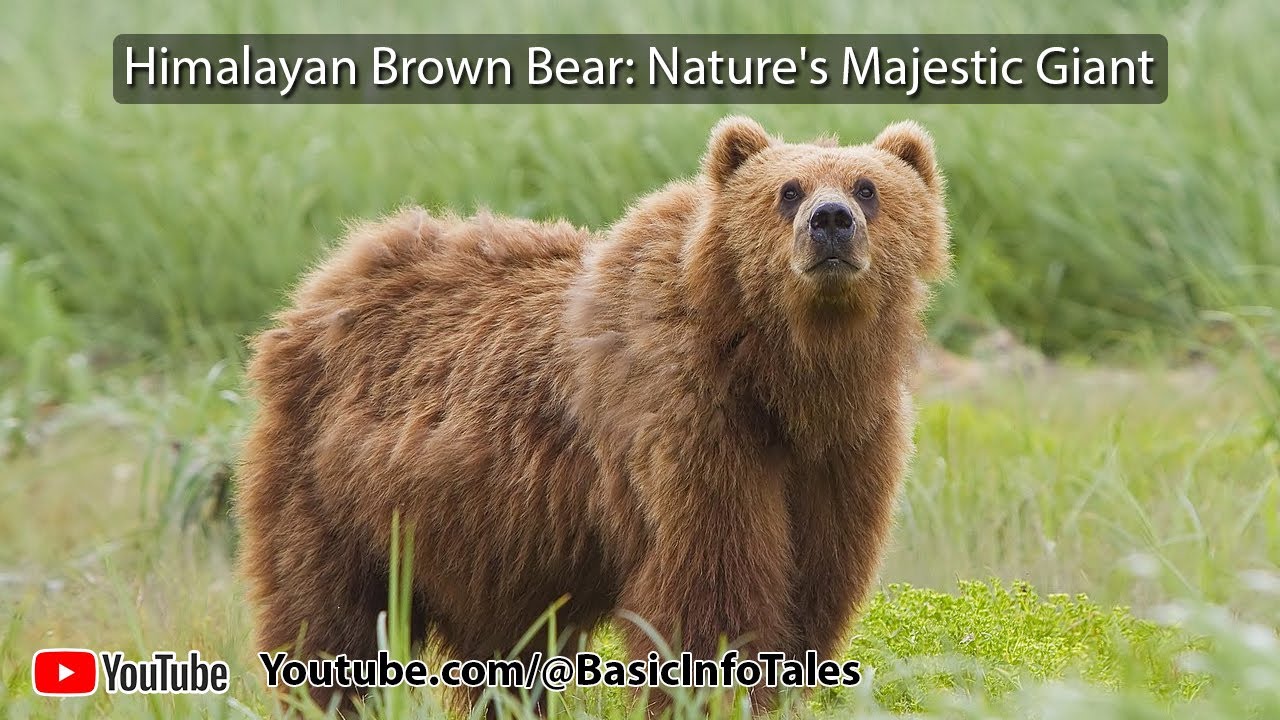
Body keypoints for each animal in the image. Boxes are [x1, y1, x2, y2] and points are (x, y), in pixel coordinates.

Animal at [235, 115, 950, 716]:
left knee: (501, 651)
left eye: (867, 187)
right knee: (326, 618)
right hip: (333, 488)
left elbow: (814, 587)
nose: (830, 220)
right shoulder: (690, 427)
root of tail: (326, 279)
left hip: (486, 541)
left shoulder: (844, 451)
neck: (784, 378)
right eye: (788, 190)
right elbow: (711, 592)